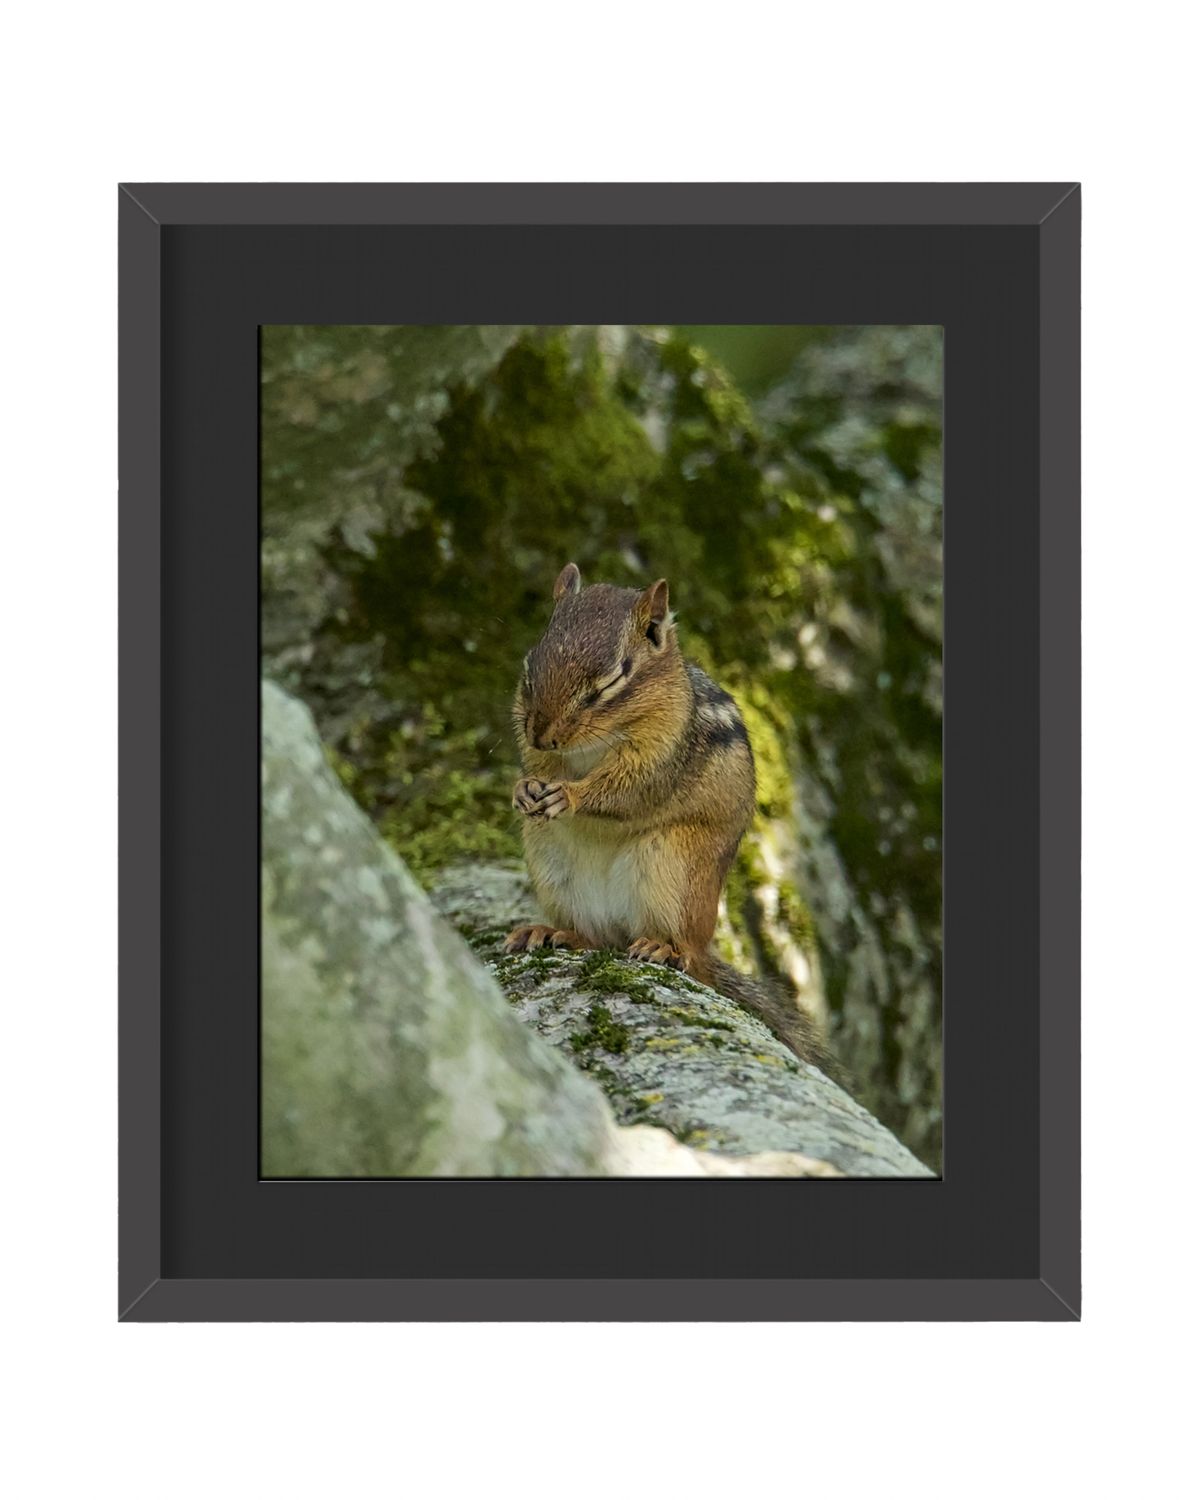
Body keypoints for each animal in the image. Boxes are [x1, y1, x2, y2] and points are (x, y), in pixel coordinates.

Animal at [503, 561, 831, 1070]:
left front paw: (569, 796)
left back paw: (663, 948)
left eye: (611, 682)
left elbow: (625, 789)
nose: (542, 735)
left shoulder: (659, 754)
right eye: (529, 668)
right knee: (598, 939)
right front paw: (524, 789)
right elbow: (535, 769)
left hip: (670, 867)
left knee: (670, 950)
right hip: (553, 866)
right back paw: (549, 931)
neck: (589, 748)